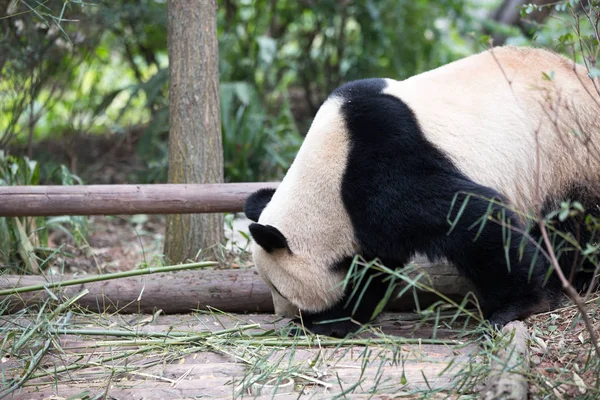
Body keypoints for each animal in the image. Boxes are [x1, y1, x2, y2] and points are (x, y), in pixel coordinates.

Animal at [243, 46, 600, 338]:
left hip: (568, 151)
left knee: (574, 221)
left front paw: (521, 303)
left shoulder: (385, 167)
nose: (282, 313)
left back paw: (577, 278)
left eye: (279, 288)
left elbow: (472, 216)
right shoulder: (365, 224)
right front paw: (337, 320)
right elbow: (370, 272)